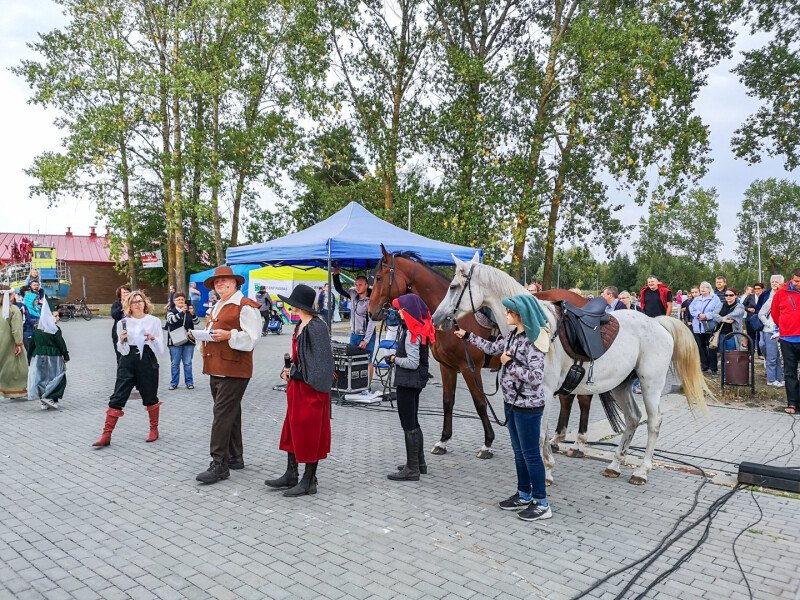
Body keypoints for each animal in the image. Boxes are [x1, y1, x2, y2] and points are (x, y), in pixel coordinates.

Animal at [368, 246, 500, 458]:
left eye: (379, 278)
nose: (371, 312)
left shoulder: (470, 369)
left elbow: (480, 403)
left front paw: (487, 444)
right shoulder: (447, 367)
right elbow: (448, 402)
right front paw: (443, 441)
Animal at [432, 255, 708, 486]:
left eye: (453, 286)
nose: (436, 318)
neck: (532, 326)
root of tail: (657, 322)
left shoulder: (541, 392)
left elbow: (540, 434)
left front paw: (546, 472)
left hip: (651, 383)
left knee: (653, 422)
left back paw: (641, 471)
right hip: (620, 385)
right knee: (632, 418)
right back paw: (615, 465)